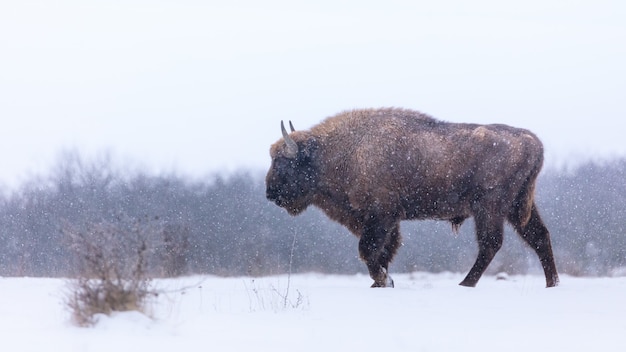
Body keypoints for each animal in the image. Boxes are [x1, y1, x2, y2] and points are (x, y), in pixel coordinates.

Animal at [264, 108, 556, 288]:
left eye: (283, 162)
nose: (269, 193)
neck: (342, 152)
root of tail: (533, 141)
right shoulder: (387, 221)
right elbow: (384, 251)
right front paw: (379, 282)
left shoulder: (380, 216)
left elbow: (368, 250)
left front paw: (384, 281)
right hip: (516, 207)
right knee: (539, 236)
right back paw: (551, 283)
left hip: (489, 208)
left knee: (491, 243)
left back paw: (465, 283)